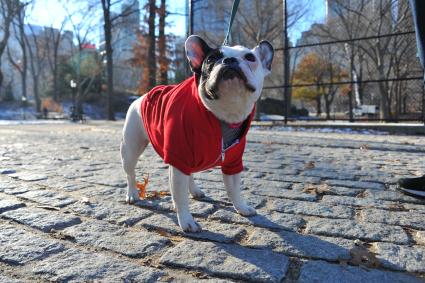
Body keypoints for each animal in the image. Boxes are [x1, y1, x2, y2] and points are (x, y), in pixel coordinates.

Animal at [121, 35, 274, 233]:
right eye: (211, 59)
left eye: (250, 57)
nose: (230, 60)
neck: (223, 115)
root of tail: (141, 97)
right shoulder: (179, 157)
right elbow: (180, 196)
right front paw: (186, 221)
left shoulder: (232, 163)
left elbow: (234, 189)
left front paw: (241, 207)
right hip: (131, 149)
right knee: (130, 173)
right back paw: (132, 193)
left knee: (190, 174)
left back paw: (194, 190)